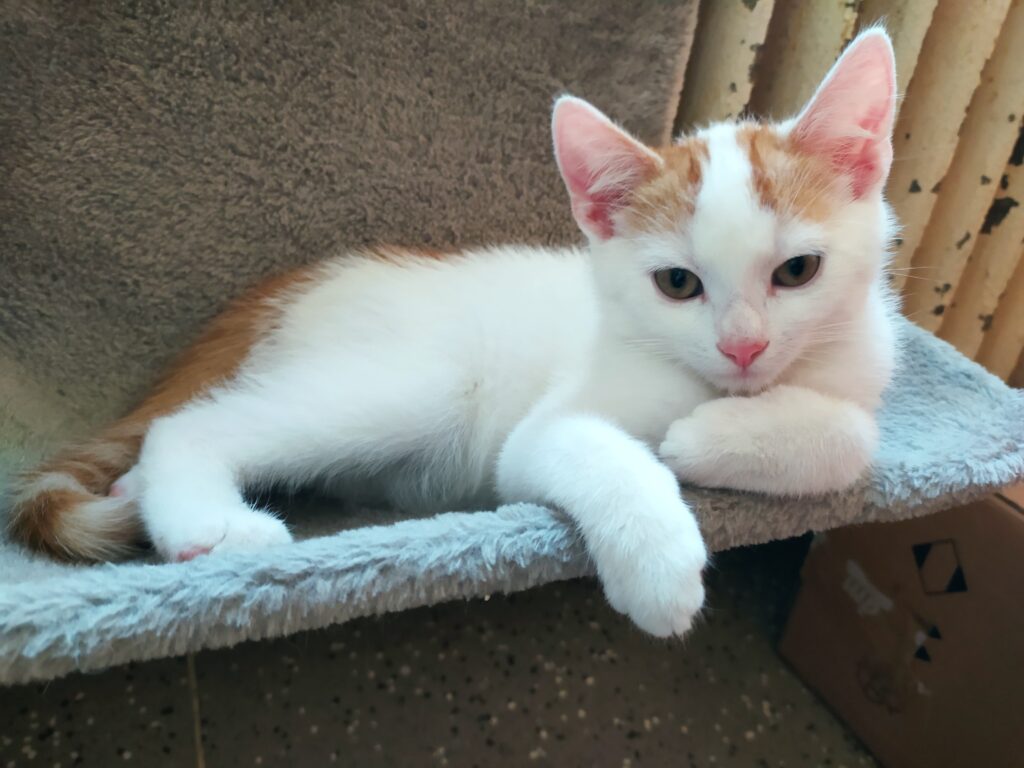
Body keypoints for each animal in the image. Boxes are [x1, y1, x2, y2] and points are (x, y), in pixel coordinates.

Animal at [8, 30, 899, 638]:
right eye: (678, 284)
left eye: (797, 272)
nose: (743, 347)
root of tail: (290, 284)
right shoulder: (540, 433)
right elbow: (605, 458)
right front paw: (662, 566)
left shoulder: (858, 369)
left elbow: (851, 438)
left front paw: (712, 435)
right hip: (419, 383)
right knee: (186, 424)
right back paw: (209, 527)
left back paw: (135, 497)